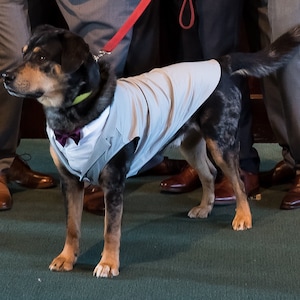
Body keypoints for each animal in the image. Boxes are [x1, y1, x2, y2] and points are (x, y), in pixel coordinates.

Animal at [2, 24, 300, 278]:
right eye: (24, 52)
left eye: (41, 58)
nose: (5, 75)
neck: (73, 119)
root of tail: (220, 63)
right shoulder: (70, 182)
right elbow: (72, 227)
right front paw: (66, 258)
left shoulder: (114, 183)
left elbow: (111, 229)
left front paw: (108, 263)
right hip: (190, 143)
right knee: (208, 174)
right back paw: (205, 207)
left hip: (220, 141)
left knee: (237, 180)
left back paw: (243, 216)